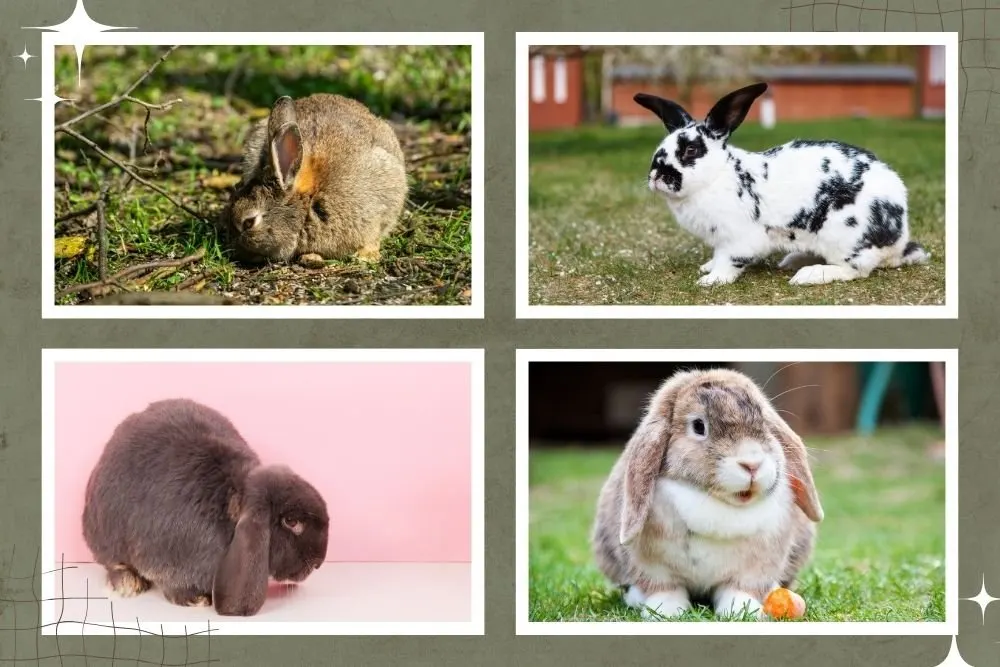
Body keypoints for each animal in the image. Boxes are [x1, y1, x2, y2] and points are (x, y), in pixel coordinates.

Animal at [82, 398, 329, 617]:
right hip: (104, 530)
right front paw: (195, 599)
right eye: (292, 522)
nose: (318, 563)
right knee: (112, 561)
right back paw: (128, 584)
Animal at [591, 368, 824, 620]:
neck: (715, 501)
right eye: (698, 426)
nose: (752, 464)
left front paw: (742, 610)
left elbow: (739, 589)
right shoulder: (653, 567)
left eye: (763, 421)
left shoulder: (754, 569)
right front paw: (666, 612)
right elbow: (665, 589)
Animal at [633, 82, 930, 287]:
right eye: (661, 148)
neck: (718, 176)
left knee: (856, 270)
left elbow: (729, 261)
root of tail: (899, 239)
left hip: (845, 237)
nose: (656, 174)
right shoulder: (720, 240)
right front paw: (707, 268)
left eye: (690, 150)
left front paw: (711, 280)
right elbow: (717, 256)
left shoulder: (738, 239)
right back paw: (791, 261)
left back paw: (808, 275)